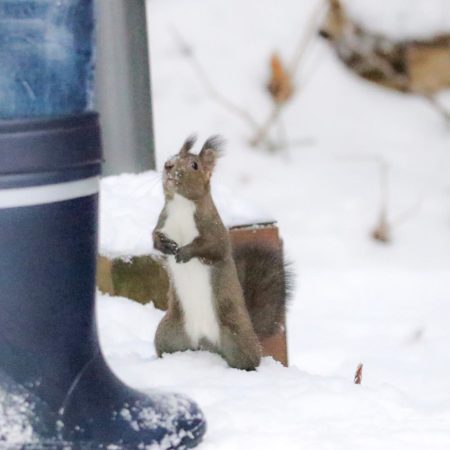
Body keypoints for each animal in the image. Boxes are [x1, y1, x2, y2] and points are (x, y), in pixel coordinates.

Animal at [153, 134, 290, 370]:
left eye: (194, 165)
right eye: (173, 156)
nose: (168, 165)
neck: (181, 205)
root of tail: (204, 344)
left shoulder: (215, 231)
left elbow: (211, 247)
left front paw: (185, 252)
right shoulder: (163, 223)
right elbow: (153, 238)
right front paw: (165, 246)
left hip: (237, 337)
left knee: (250, 359)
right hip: (168, 333)